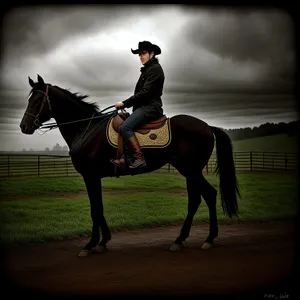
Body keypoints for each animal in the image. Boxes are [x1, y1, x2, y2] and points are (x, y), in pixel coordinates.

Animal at [19, 74, 240, 256]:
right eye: (29, 99)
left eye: (37, 100)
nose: (24, 126)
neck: (86, 128)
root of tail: (207, 126)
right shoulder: (93, 178)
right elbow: (98, 208)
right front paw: (102, 241)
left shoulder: (90, 176)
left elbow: (95, 210)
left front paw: (90, 244)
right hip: (189, 171)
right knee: (197, 199)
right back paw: (182, 239)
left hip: (191, 170)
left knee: (208, 195)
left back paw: (207, 239)